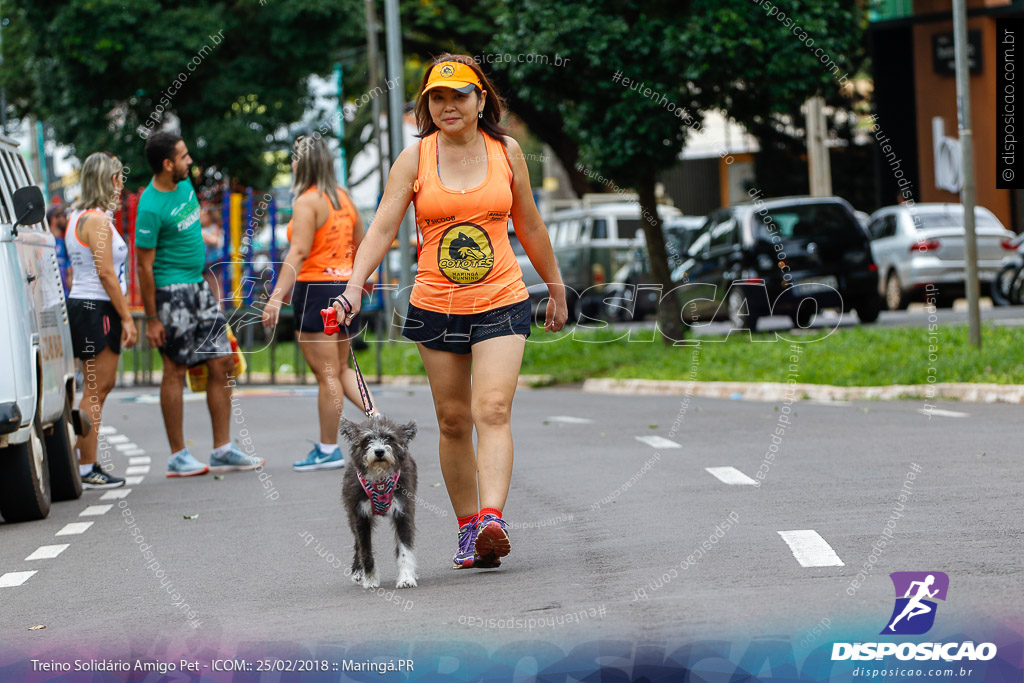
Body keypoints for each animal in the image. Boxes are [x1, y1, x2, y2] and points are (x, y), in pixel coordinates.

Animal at [335, 413, 415, 589]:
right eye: (367, 439)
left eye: (389, 437)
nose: (379, 451)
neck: (379, 479)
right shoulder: (360, 516)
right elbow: (365, 549)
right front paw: (370, 579)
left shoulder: (403, 512)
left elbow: (405, 549)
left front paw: (406, 578)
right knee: (357, 544)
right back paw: (358, 571)